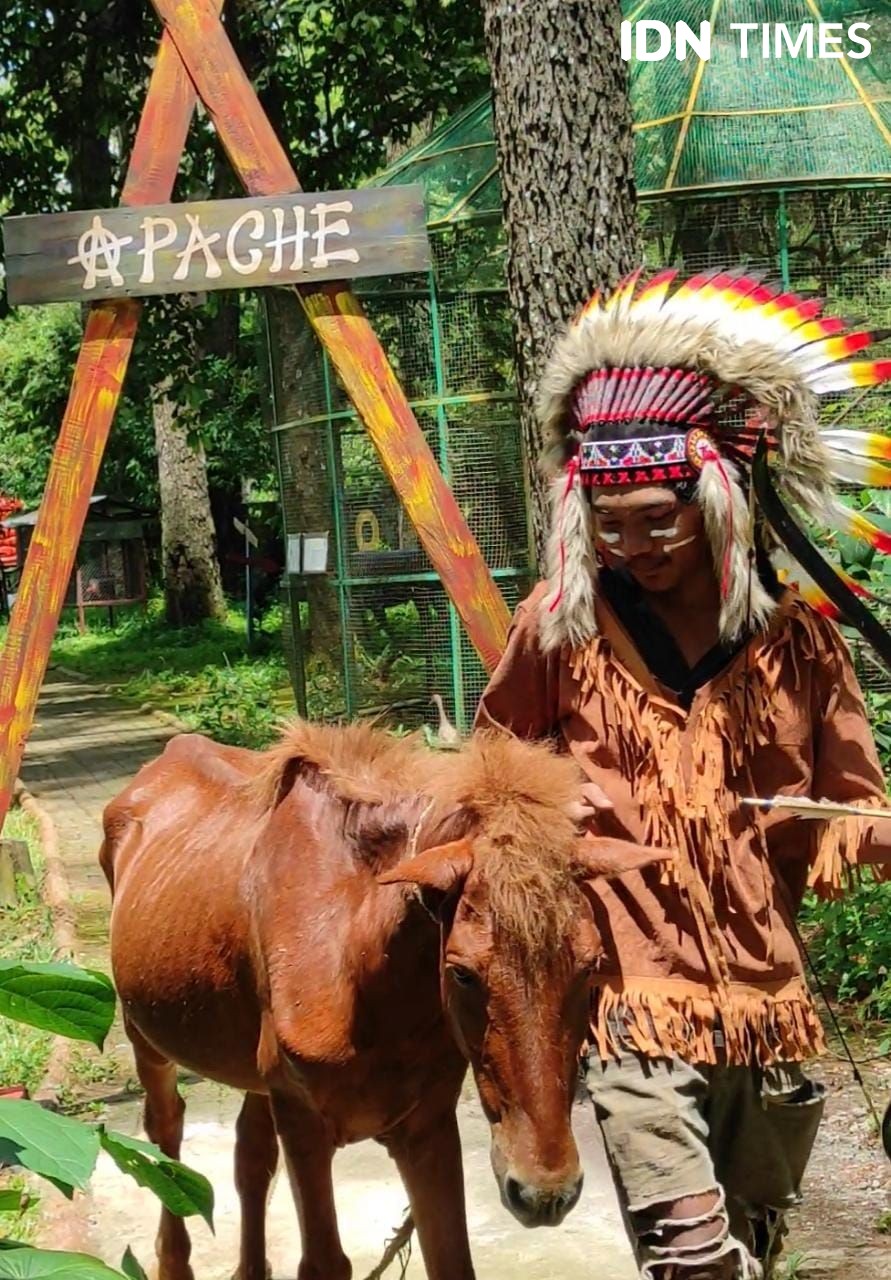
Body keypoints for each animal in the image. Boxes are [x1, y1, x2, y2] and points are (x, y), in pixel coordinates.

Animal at [101, 721, 665, 1280]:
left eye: (591, 965)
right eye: (461, 973)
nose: (544, 1193)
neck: (358, 965)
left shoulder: (426, 1127)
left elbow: (452, 1259)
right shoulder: (303, 1124)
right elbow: (324, 1262)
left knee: (250, 1155)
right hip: (144, 1037)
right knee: (166, 1132)